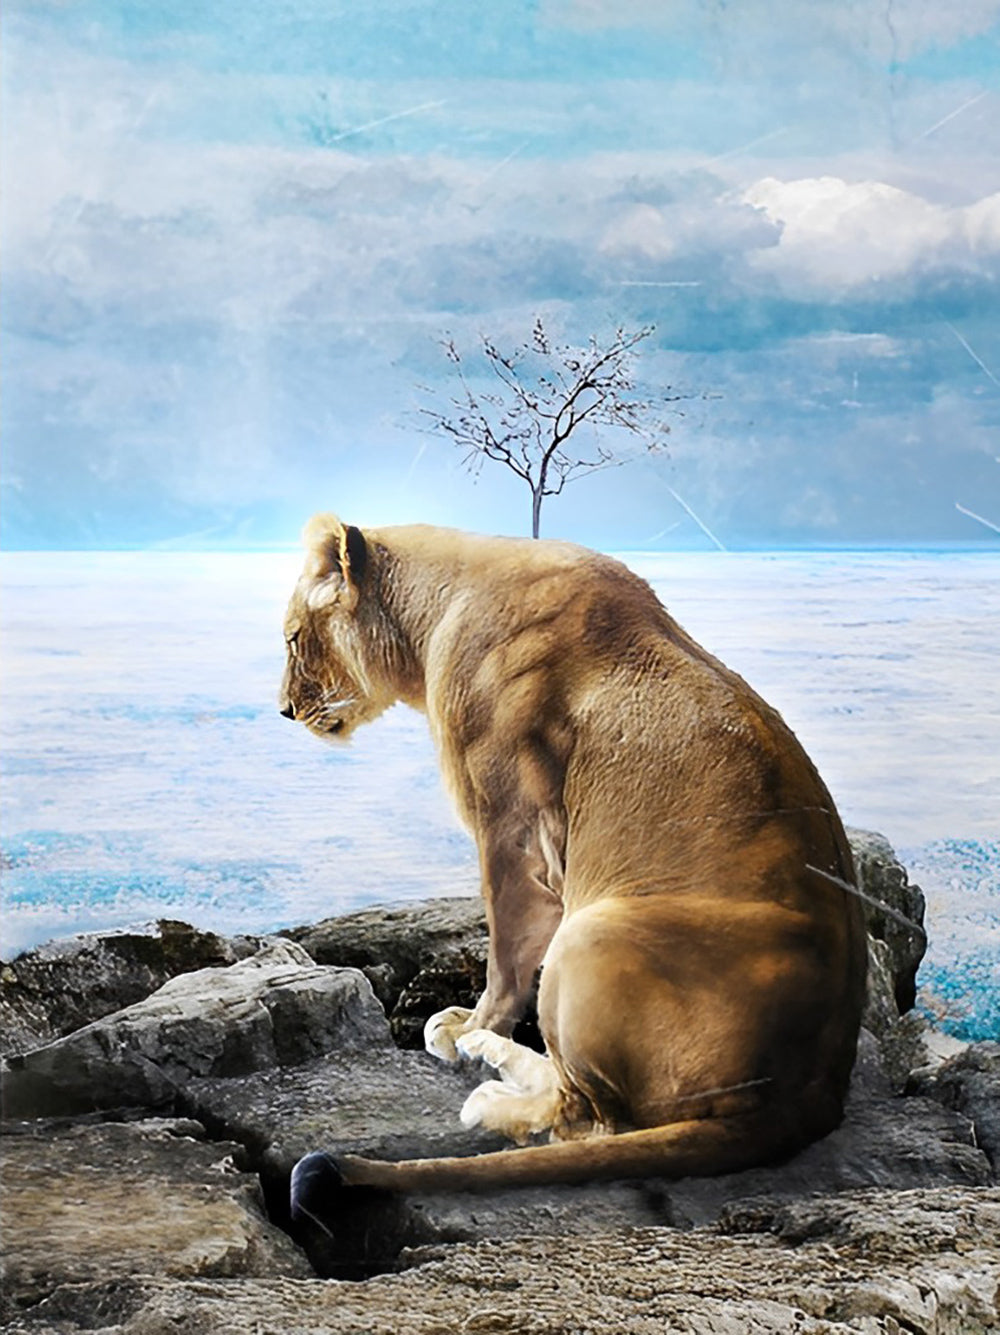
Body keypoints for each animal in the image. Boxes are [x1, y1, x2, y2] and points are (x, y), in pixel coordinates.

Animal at [280, 514, 867, 1199]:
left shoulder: (510, 827)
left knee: (586, 1119)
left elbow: (507, 954)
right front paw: (469, 1026)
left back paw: (489, 1083)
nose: (284, 710)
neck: (433, 610)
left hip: (590, 932)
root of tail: (808, 1096)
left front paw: (472, 1025)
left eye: (293, 638)